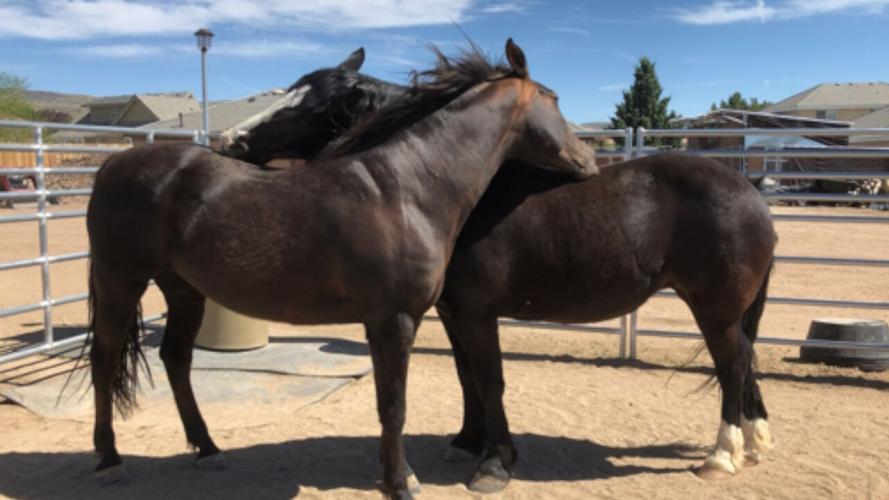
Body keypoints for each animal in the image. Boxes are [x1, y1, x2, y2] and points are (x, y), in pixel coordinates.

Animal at [85, 39, 597, 499]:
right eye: (554, 99)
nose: (588, 160)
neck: (406, 187)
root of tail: (113, 164)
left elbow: (398, 402)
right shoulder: (394, 321)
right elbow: (394, 407)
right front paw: (400, 485)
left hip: (184, 289)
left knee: (176, 358)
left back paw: (208, 450)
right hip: (120, 281)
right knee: (104, 361)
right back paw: (109, 461)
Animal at [221, 50, 779, 493]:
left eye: (313, 104)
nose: (229, 140)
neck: (453, 187)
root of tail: (751, 193)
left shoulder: (476, 311)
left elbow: (490, 379)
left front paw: (494, 463)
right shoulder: (452, 312)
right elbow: (467, 377)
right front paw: (468, 442)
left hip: (715, 309)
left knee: (732, 366)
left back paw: (722, 455)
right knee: (747, 361)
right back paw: (754, 442)